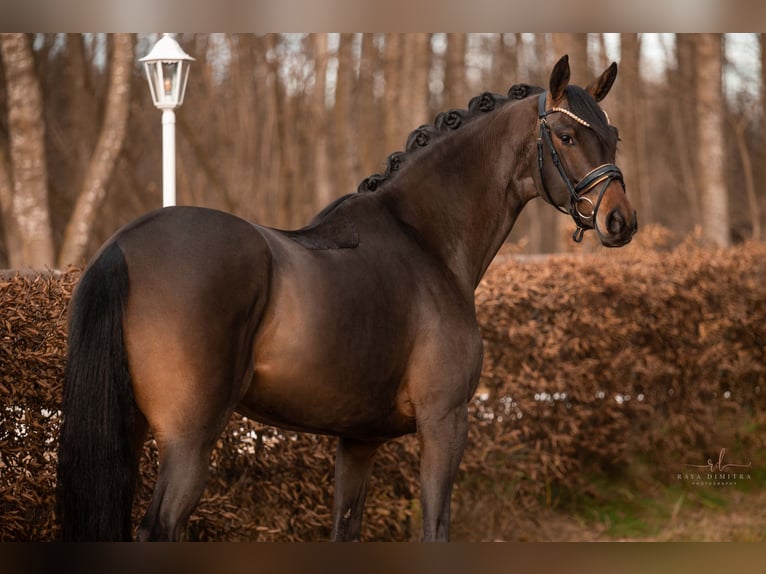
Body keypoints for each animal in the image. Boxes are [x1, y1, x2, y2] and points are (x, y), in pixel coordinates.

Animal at [57, 56, 640, 544]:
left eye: (613, 135)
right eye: (566, 134)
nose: (621, 221)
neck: (425, 240)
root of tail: (124, 244)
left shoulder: (358, 439)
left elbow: (346, 530)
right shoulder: (445, 422)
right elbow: (435, 531)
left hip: (130, 433)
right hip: (188, 440)